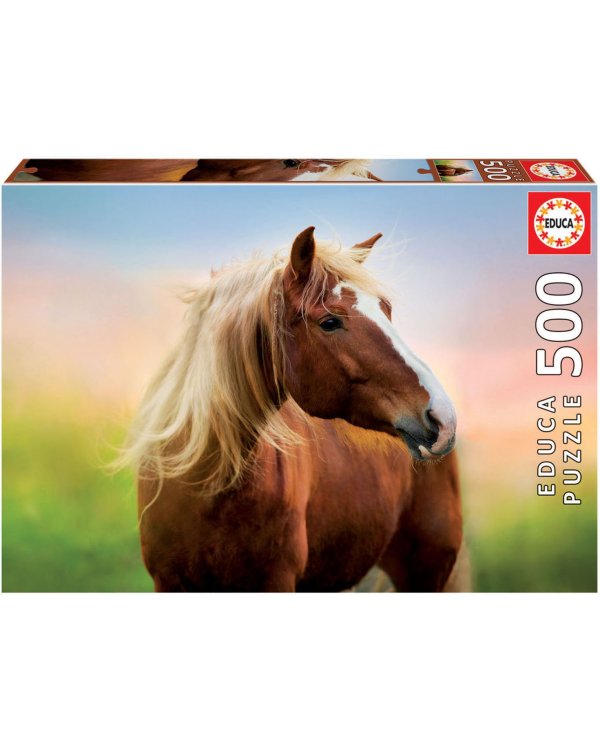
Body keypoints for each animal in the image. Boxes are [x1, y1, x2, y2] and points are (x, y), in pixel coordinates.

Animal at [124, 227, 464, 592]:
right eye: (329, 322)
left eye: (386, 310)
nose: (442, 416)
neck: (206, 486)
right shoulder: (168, 580)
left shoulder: (275, 580)